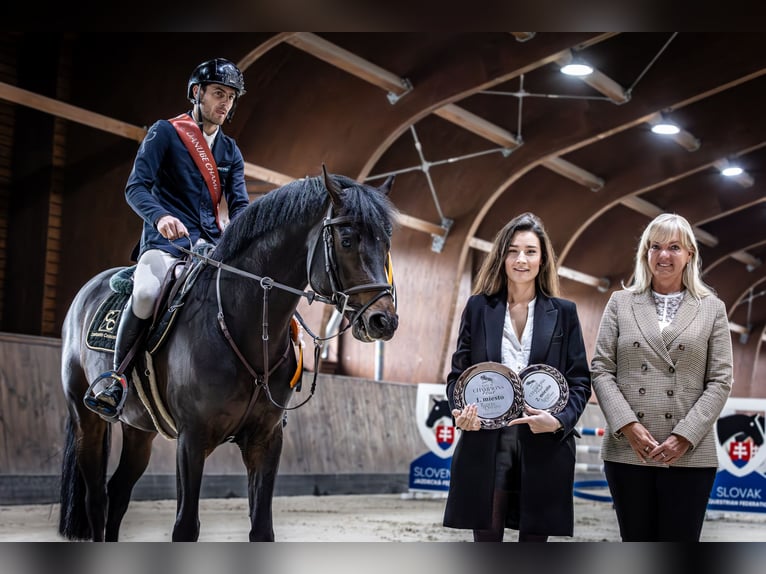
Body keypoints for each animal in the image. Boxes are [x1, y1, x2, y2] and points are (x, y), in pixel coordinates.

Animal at [57, 168, 400, 544]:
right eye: (348, 240)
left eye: (386, 243)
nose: (384, 321)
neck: (243, 324)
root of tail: (89, 289)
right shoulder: (192, 440)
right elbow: (185, 527)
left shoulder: (266, 440)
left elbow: (262, 529)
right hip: (86, 418)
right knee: (97, 498)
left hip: (139, 429)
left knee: (118, 493)